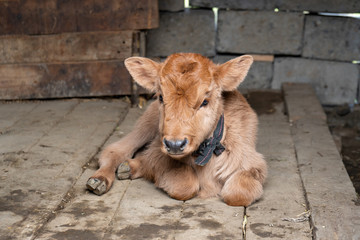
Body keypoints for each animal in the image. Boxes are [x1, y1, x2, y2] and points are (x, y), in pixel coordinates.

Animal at [86, 52, 268, 206]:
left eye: (205, 101)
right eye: (161, 97)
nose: (175, 144)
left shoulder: (253, 163)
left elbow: (238, 193)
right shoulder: (159, 153)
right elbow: (184, 185)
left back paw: (125, 169)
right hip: (144, 128)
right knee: (115, 150)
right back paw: (99, 181)